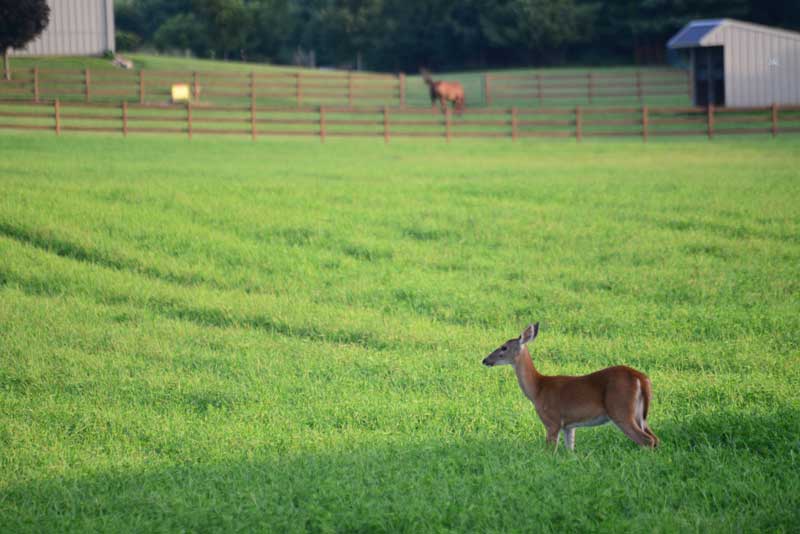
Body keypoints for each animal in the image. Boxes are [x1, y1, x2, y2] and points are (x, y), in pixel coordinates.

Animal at [482, 323, 659, 450]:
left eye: (504, 347)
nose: (485, 360)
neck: (538, 389)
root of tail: (641, 378)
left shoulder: (552, 421)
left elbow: (550, 451)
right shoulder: (569, 426)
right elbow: (570, 450)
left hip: (621, 409)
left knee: (647, 440)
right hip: (640, 414)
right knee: (655, 438)